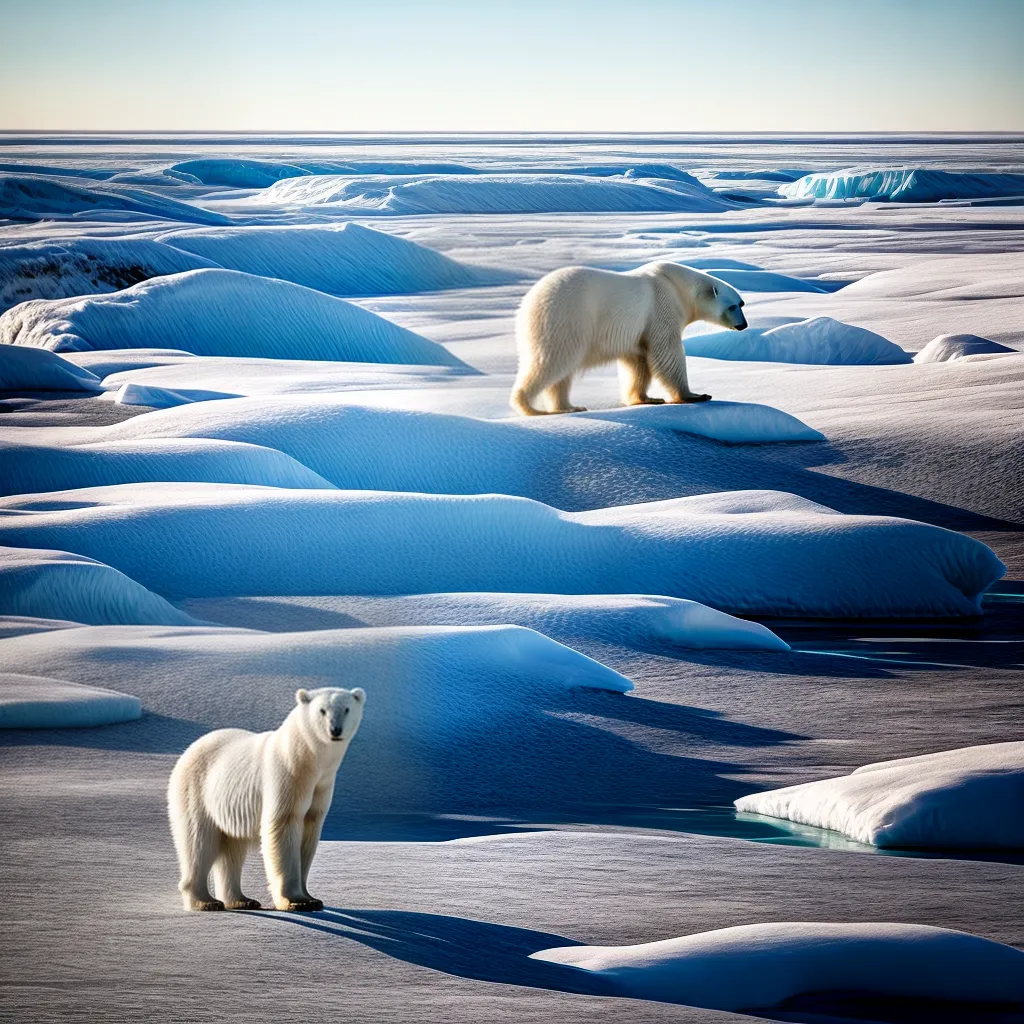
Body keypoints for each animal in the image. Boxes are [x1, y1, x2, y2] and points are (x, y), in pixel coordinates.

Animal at [167, 686, 365, 912]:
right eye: (322, 710)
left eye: (346, 709)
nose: (335, 730)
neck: (307, 759)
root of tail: (188, 751)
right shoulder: (288, 776)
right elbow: (284, 825)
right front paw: (296, 901)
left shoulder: (322, 785)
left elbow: (309, 831)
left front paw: (311, 898)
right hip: (196, 790)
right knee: (198, 842)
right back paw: (205, 901)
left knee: (231, 849)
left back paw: (241, 899)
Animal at [510, 261, 747, 416]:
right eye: (733, 306)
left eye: (741, 303)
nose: (743, 325)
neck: (677, 285)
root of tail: (527, 303)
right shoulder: (662, 305)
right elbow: (667, 351)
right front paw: (694, 395)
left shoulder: (639, 332)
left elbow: (638, 361)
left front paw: (647, 399)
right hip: (566, 318)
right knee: (551, 362)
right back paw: (530, 407)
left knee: (561, 374)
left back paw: (569, 407)